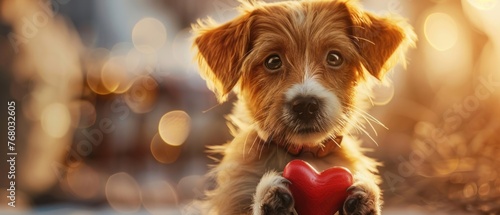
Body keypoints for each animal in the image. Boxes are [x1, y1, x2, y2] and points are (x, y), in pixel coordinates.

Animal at [190, 0, 414, 214]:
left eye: (334, 58)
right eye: (273, 61)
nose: (306, 105)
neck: (305, 153)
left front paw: (364, 200)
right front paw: (269, 199)